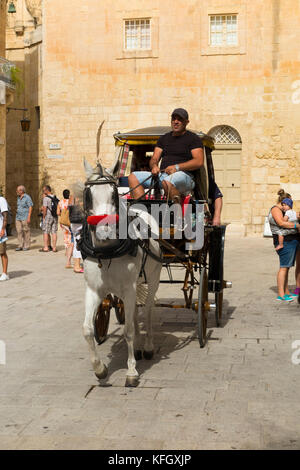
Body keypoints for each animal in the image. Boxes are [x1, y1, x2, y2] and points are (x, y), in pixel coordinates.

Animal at [81, 160, 162, 388]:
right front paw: (100, 369)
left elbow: (128, 332)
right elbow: (87, 330)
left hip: (153, 279)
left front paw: (132, 371)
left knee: (148, 310)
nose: (104, 230)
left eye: (114, 193)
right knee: (133, 314)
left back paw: (148, 346)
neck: (107, 251)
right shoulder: (94, 290)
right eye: (87, 194)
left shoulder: (130, 287)